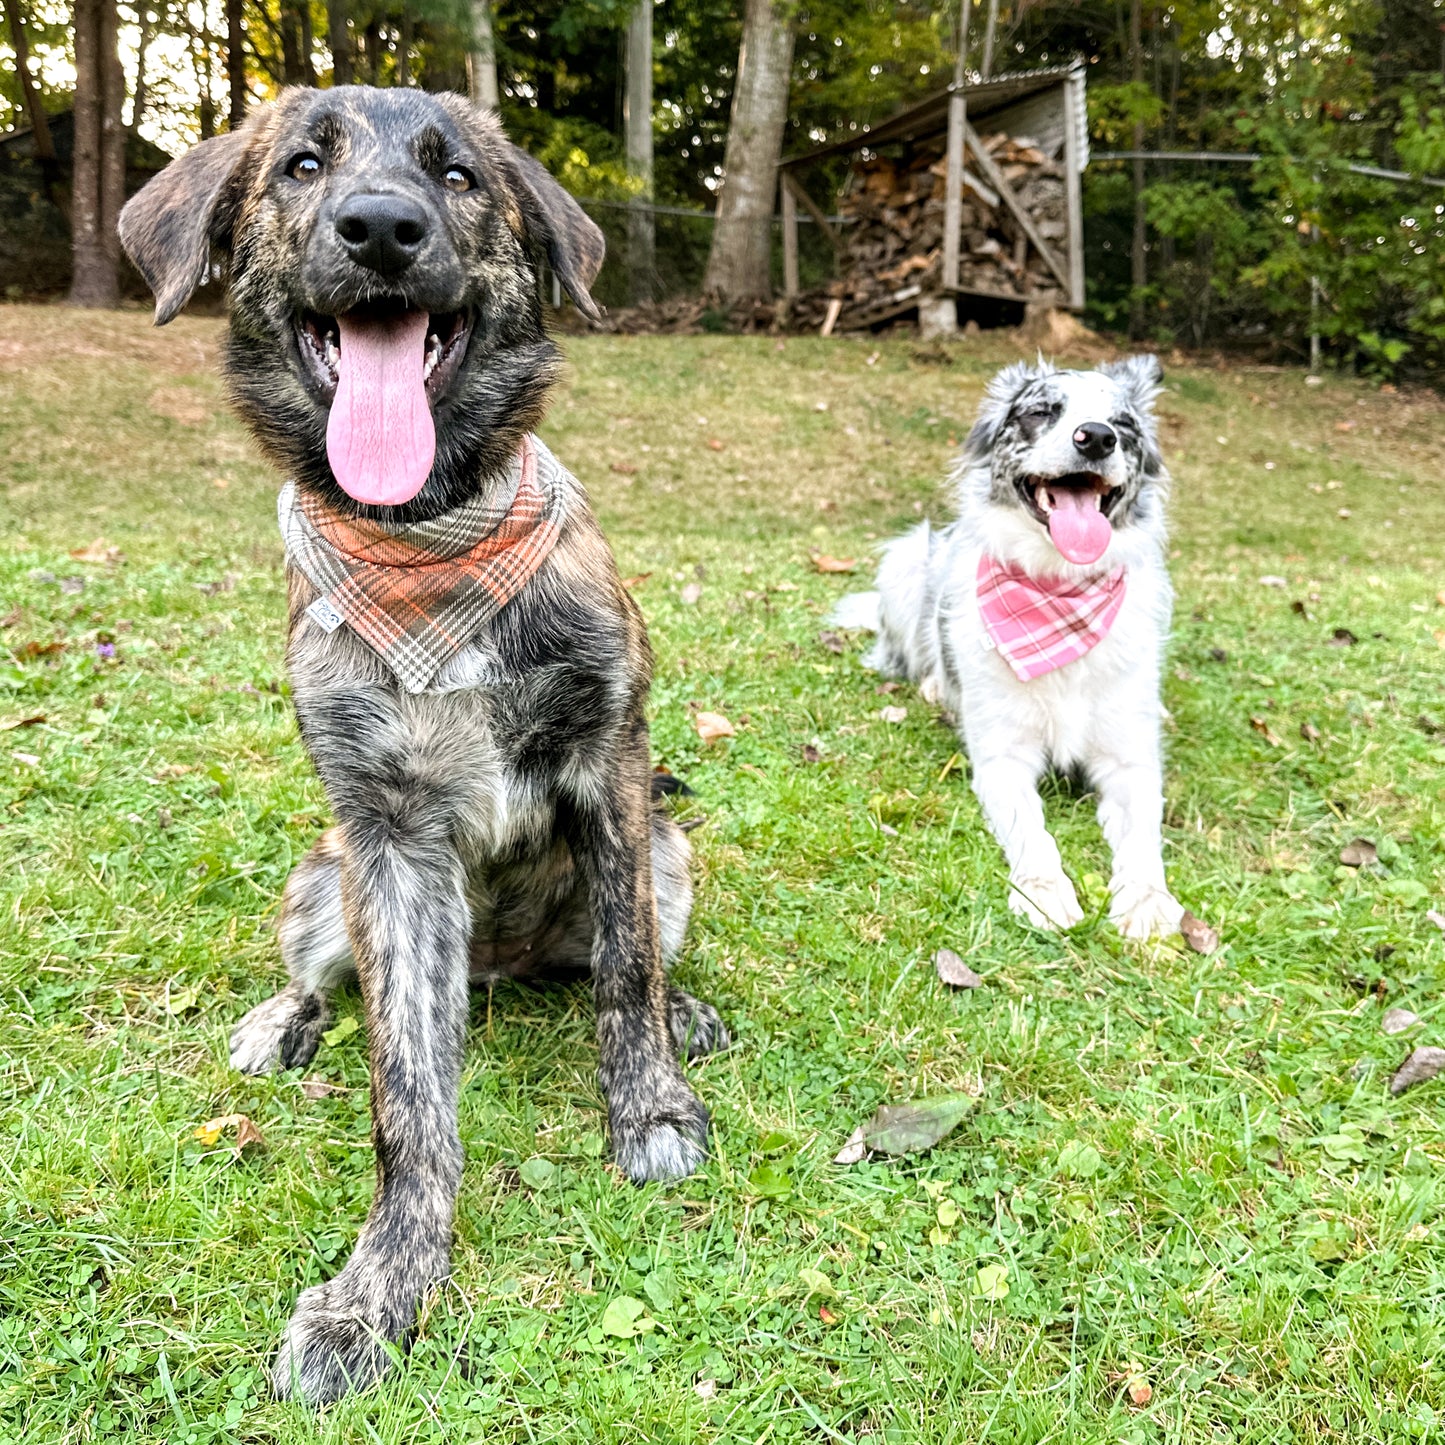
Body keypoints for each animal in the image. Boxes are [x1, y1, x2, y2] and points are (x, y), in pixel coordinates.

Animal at [118, 84, 728, 1404]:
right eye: (302, 166)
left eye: (457, 177)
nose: (383, 227)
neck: (428, 529)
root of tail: (498, 969)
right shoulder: (388, 840)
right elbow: (406, 1098)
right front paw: (379, 1284)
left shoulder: (611, 769)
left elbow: (624, 978)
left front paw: (651, 1107)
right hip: (320, 872)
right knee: (322, 976)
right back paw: (281, 1019)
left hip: (668, 847)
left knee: (625, 957)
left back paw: (690, 1009)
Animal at [838, 351, 1184, 936]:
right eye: (1042, 412)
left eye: (1125, 425)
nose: (1097, 437)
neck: (1060, 590)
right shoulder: (1003, 758)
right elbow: (1033, 830)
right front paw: (1043, 889)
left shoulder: (1130, 764)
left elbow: (1143, 839)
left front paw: (1146, 900)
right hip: (909, 559)